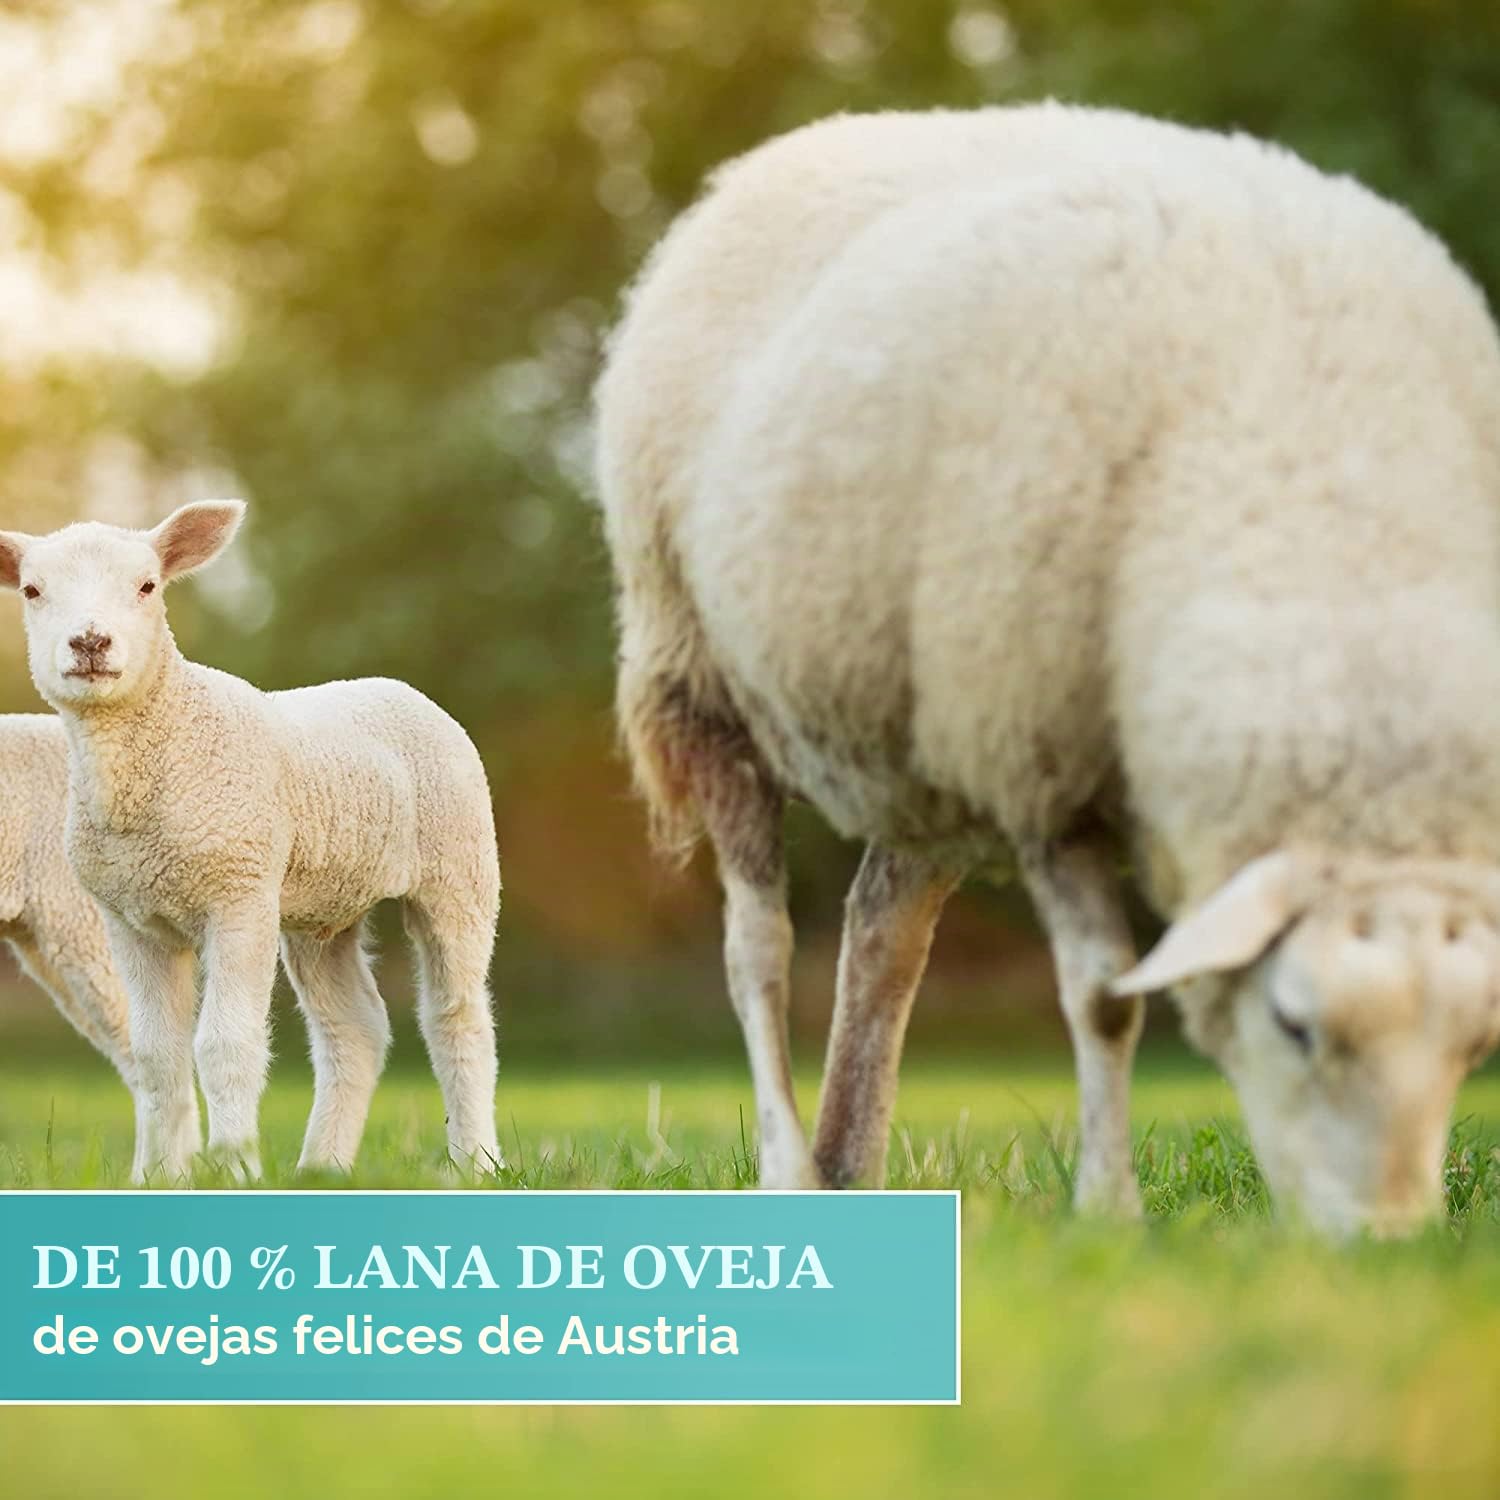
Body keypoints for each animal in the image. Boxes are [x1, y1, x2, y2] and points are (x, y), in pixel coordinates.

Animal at [593, 103, 1500, 1235]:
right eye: (1296, 1025)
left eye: (1474, 1047)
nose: (1382, 1242)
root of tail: (797, 146)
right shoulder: (1042, 765)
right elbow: (1104, 997)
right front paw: (1109, 1211)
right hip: (702, 675)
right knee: (757, 946)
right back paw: (792, 1168)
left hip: (923, 728)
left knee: (881, 933)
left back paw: (853, 1162)